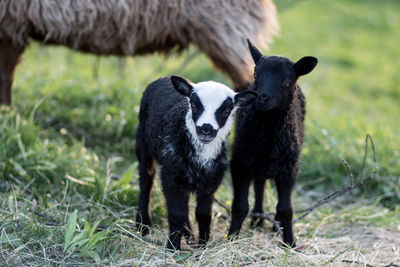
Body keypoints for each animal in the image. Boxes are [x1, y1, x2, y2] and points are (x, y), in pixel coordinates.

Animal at [136, 75, 258, 251]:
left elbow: (203, 214)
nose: (206, 129)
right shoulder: (170, 176)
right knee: (146, 180)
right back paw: (143, 225)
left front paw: (203, 244)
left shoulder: (212, 181)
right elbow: (176, 214)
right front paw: (173, 248)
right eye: (194, 106)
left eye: (226, 111)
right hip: (142, 142)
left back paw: (188, 234)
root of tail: (163, 78)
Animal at [228, 39, 318, 247]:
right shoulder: (240, 164)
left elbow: (285, 208)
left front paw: (290, 243)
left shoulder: (290, 169)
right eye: (256, 74)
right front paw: (231, 239)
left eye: (286, 81)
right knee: (260, 185)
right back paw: (257, 219)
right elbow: (240, 206)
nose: (262, 98)